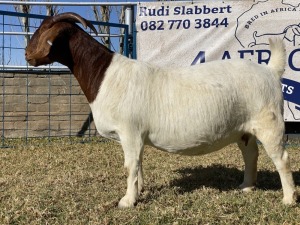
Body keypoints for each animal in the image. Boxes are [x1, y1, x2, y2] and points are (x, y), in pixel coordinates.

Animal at [25, 11, 298, 206]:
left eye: (44, 31)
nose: (27, 55)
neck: (104, 75)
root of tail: (270, 70)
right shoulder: (136, 136)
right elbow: (138, 164)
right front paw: (139, 191)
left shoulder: (129, 131)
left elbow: (130, 166)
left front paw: (127, 201)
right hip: (245, 129)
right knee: (251, 154)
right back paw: (247, 187)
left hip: (269, 122)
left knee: (281, 158)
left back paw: (287, 199)